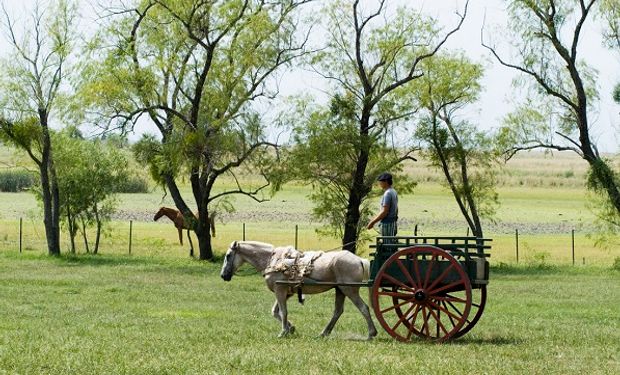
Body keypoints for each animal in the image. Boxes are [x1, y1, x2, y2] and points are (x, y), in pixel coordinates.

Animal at [222, 241, 378, 340]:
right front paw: (290, 328)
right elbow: (275, 312)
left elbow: (283, 311)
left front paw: (283, 332)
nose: (223, 275)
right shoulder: (287, 293)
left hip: (349, 290)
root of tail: (359, 260)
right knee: (337, 312)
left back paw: (371, 333)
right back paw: (324, 333)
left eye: (228, 255)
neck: (273, 260)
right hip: (340, 290)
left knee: (364, 308)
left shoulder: (280, 291)